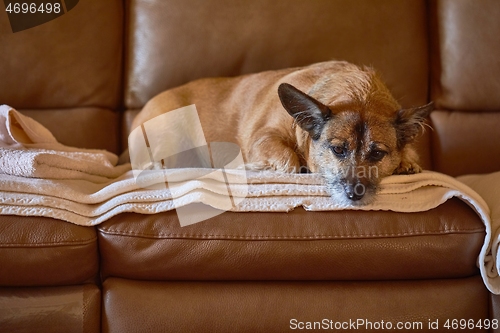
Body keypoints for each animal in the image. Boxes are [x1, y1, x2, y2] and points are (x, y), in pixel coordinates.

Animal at [131, 61, 432, 204]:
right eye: (338, 149)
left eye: (377, 154)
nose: (354, 193)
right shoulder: (262, 137)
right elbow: (289, 161)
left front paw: (407, 162)